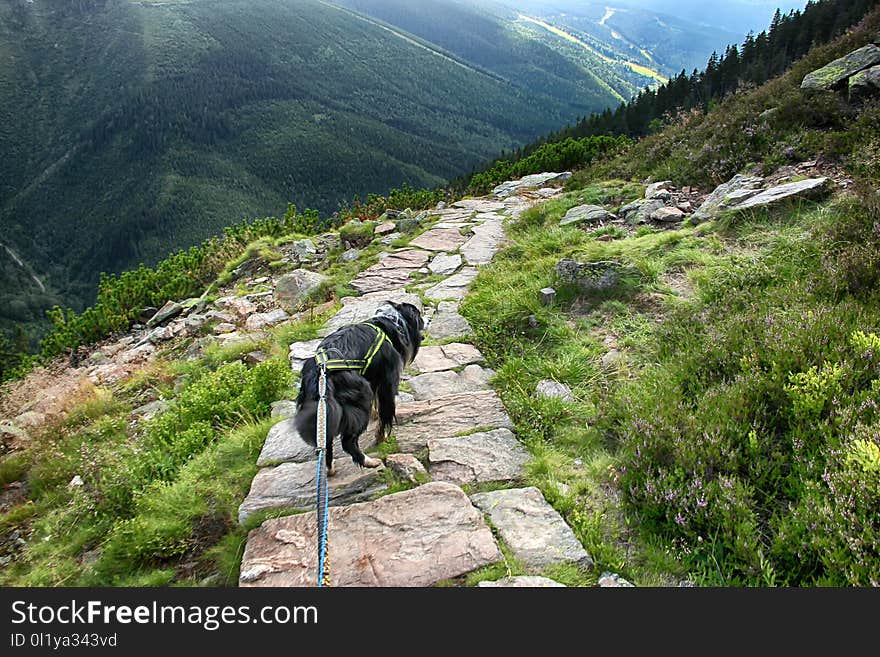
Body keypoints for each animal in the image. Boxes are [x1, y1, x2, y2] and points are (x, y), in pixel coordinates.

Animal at [294, 300, 424, 474]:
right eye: (420, 316)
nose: (429, 320)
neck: (390, 323)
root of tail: (322, 372)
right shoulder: (387, 382)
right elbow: (385, 414)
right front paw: (383, 437)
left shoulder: (373, 376)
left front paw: (375, 417)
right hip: (360, 397)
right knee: (348, 442)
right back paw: (369, 462)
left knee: (326, 440)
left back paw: (329, 468)